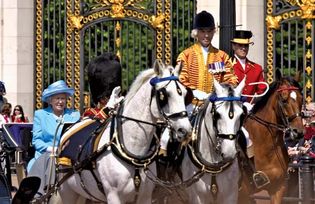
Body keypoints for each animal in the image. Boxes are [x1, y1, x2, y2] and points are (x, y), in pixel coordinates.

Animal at [57, 61, 194, 204]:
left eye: (184, 94)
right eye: (164, 94)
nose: (185, 130)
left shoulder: (145, 197)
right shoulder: (114, 196)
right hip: (68, 192)